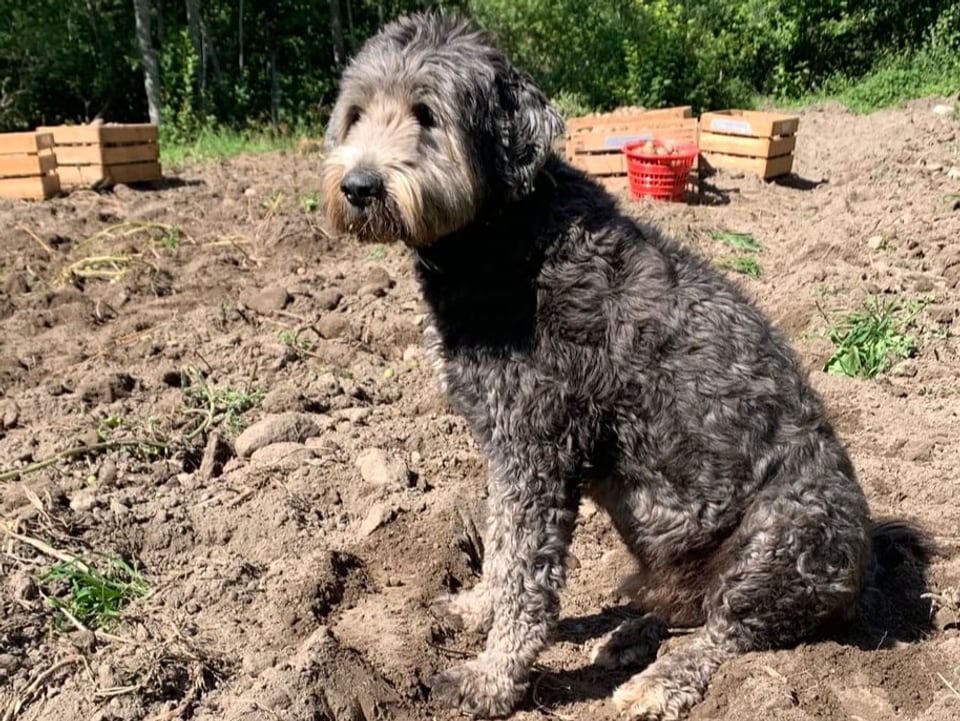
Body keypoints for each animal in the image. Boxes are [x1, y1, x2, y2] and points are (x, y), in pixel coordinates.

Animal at [322, 11, 928, 720]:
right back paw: (628, 637)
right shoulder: (505, 447)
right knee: (688, 611)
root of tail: (868, 568)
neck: (507, 240)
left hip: (787, 529)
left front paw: (491, 679)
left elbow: (525, 575)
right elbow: (499, 549)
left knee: (731, 631)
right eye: (356, 114)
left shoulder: (539, 449)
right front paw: (476, 610)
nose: (358, 186)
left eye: (427, 114)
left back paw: (659, 678)